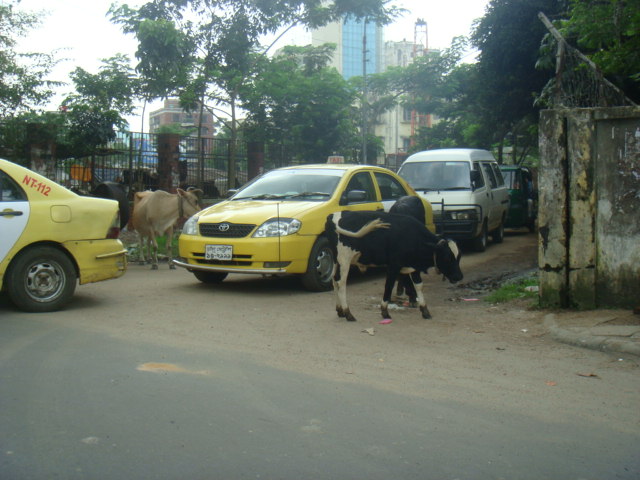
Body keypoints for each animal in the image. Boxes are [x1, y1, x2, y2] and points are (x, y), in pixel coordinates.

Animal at [328, 211, 462, 320]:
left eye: (459, 257)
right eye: (447, 257)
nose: (459, 276)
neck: (413, 236)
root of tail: (332, 216)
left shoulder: (414, 267)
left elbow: (419, 286)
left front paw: (425, 310)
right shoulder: (393, 266)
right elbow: (389, 286)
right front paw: (384, 311)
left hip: (336, 262)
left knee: (334, 281)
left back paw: (340, 310)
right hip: (344, 260)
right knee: (341, 283)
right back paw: (348, 313)